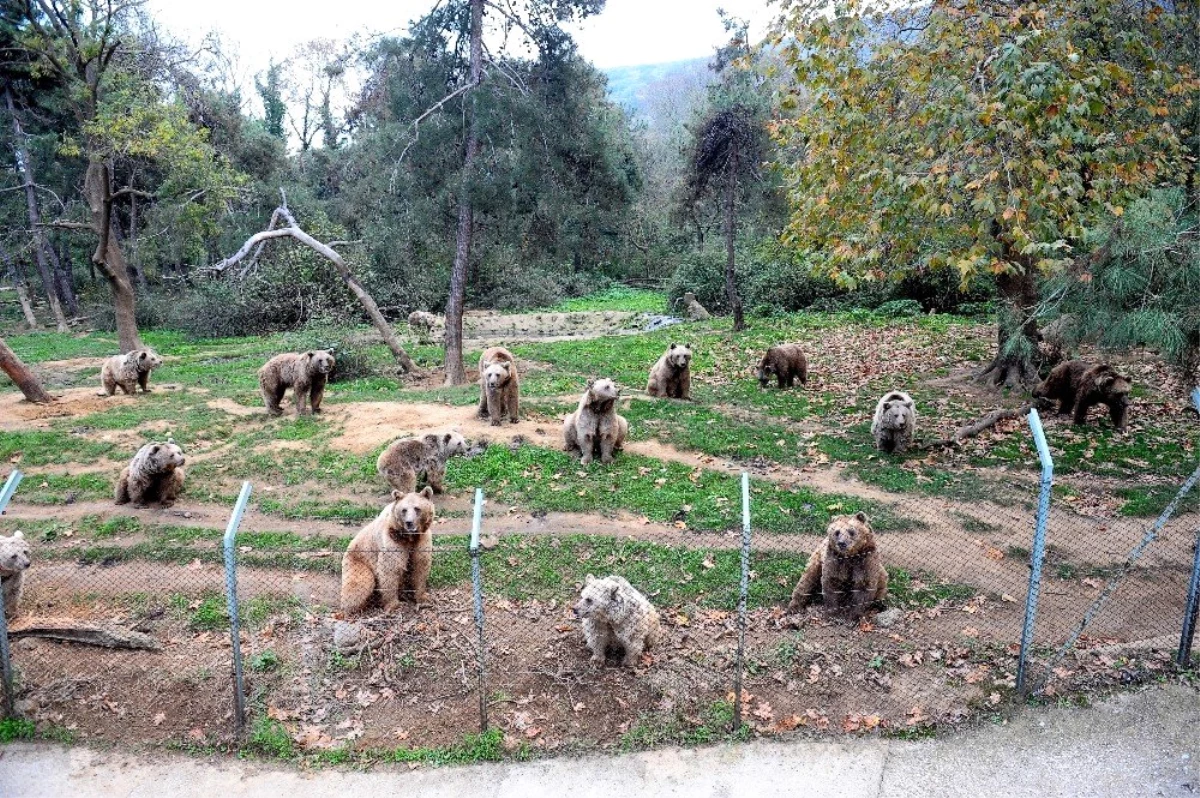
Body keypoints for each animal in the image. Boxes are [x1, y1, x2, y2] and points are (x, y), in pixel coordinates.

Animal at [340, 482, 434, 612]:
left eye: (417, 508)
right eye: (404, 510)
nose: (409, 523)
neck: (409, 538)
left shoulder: (421, 541)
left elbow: (420, 565)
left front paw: (423, 597)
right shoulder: (392, 540)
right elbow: (390, 570)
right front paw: (394, 604)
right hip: (357, 562)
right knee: (361, 584)